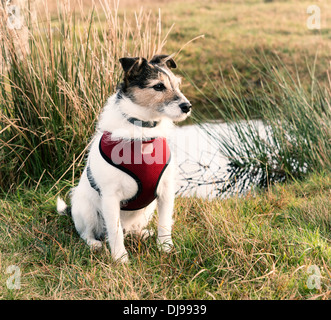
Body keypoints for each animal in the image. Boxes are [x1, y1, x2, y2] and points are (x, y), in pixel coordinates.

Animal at [57, 53, 192, 262]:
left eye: (177, 85)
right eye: (158, 86)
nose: (187, 106)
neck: (143, 132)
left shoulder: (166, 191)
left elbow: (164, 223)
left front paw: (165, 248)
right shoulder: (111, 197)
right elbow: (115, 231)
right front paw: (120, 258)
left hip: (147, 209)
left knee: (130, 229)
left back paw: (141, 233)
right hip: (86, 209)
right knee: (88, 233)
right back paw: (95, 244)